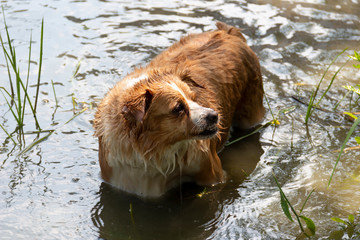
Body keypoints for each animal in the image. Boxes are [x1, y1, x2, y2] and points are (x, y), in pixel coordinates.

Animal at [93, 22, 264, 198]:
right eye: (178, 108)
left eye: (193, 98)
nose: (214, 115)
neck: (157, 149)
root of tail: (227, 31)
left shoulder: (212, 171)